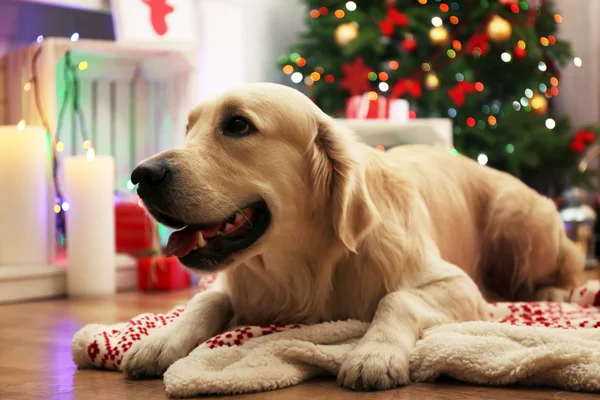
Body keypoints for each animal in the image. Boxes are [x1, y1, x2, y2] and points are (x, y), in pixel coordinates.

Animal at [124, 82, 584, 390]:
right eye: (188, 130)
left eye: (238, 125)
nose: (141, 176)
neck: (308, 268)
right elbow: (207, 300)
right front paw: (161, 340)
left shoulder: (459, 286)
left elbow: (396, 298)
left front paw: (374, 353)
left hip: (517, 215)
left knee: (566, 271)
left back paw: (555, 293)